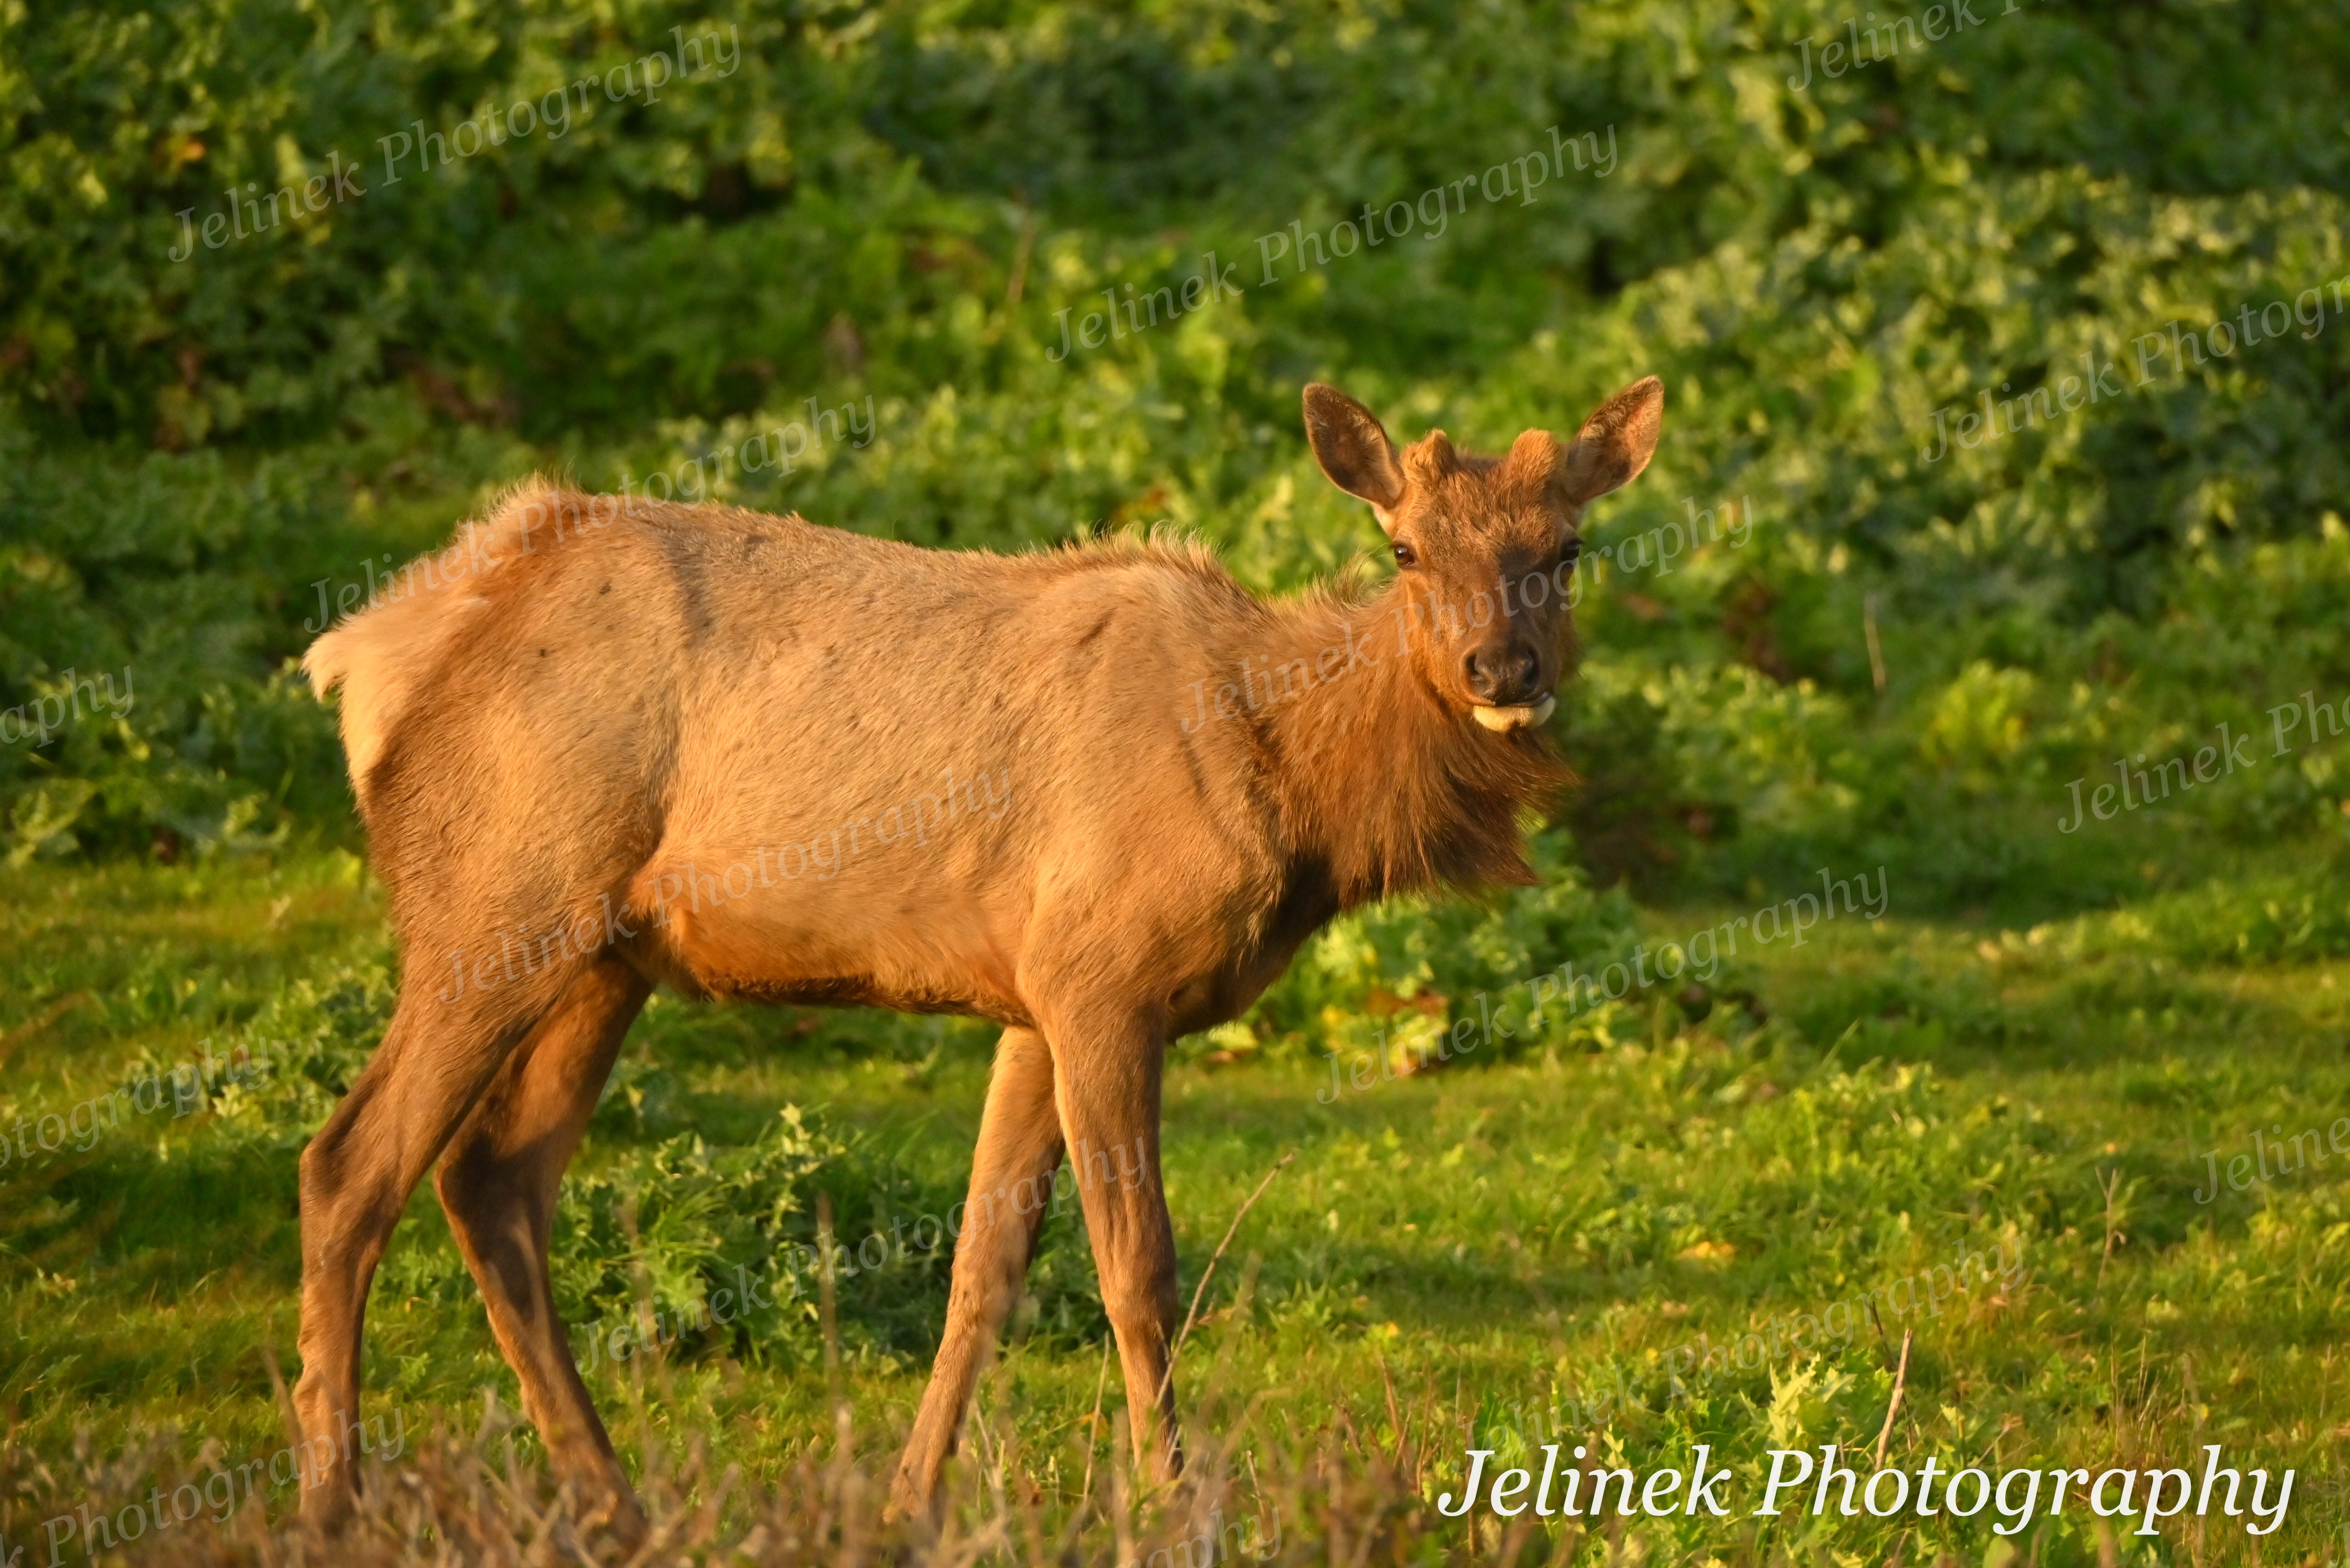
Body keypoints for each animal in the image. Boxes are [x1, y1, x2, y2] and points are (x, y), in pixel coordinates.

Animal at [292, 375, 1663, 1534]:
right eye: (1404, 549)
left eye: (1565, 550)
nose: (1501, 669)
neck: (1288, 779)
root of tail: (359, 658)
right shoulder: (1103, 976)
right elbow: (1136, 1267)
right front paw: (1172, 1503)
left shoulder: (1033, 995)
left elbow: (983, 1269)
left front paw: (912, 1502)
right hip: (495, 899)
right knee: (351, 1164)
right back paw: (334, 1505)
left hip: (603, 957)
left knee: (492, 1180)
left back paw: (615, 1504)